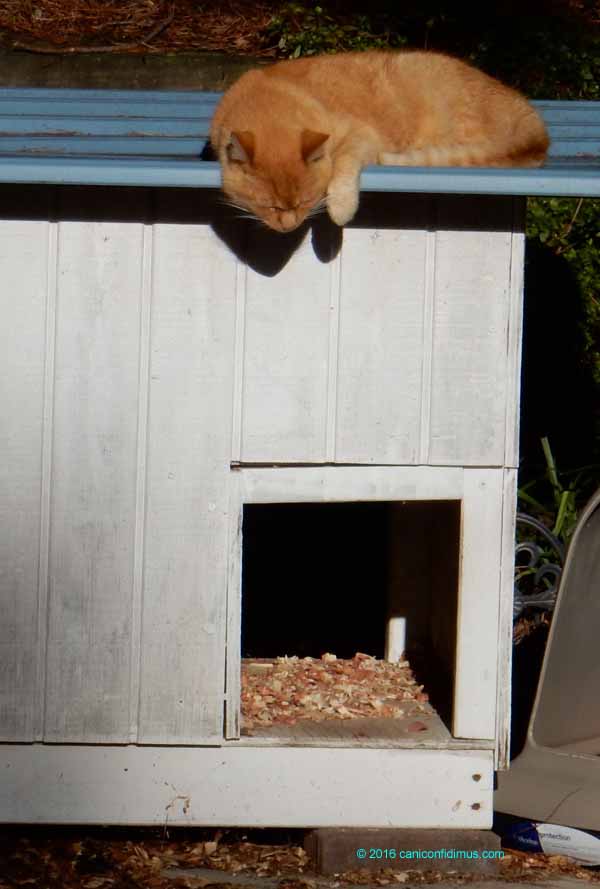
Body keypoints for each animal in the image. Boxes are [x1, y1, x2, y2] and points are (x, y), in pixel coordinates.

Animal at [210, 49, 548, 232]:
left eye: (306, 201)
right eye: (267, 206)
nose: (289, 226)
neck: (273, 98)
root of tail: (528, 113)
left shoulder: (360, 136)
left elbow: (343, 168)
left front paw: (340, 207)